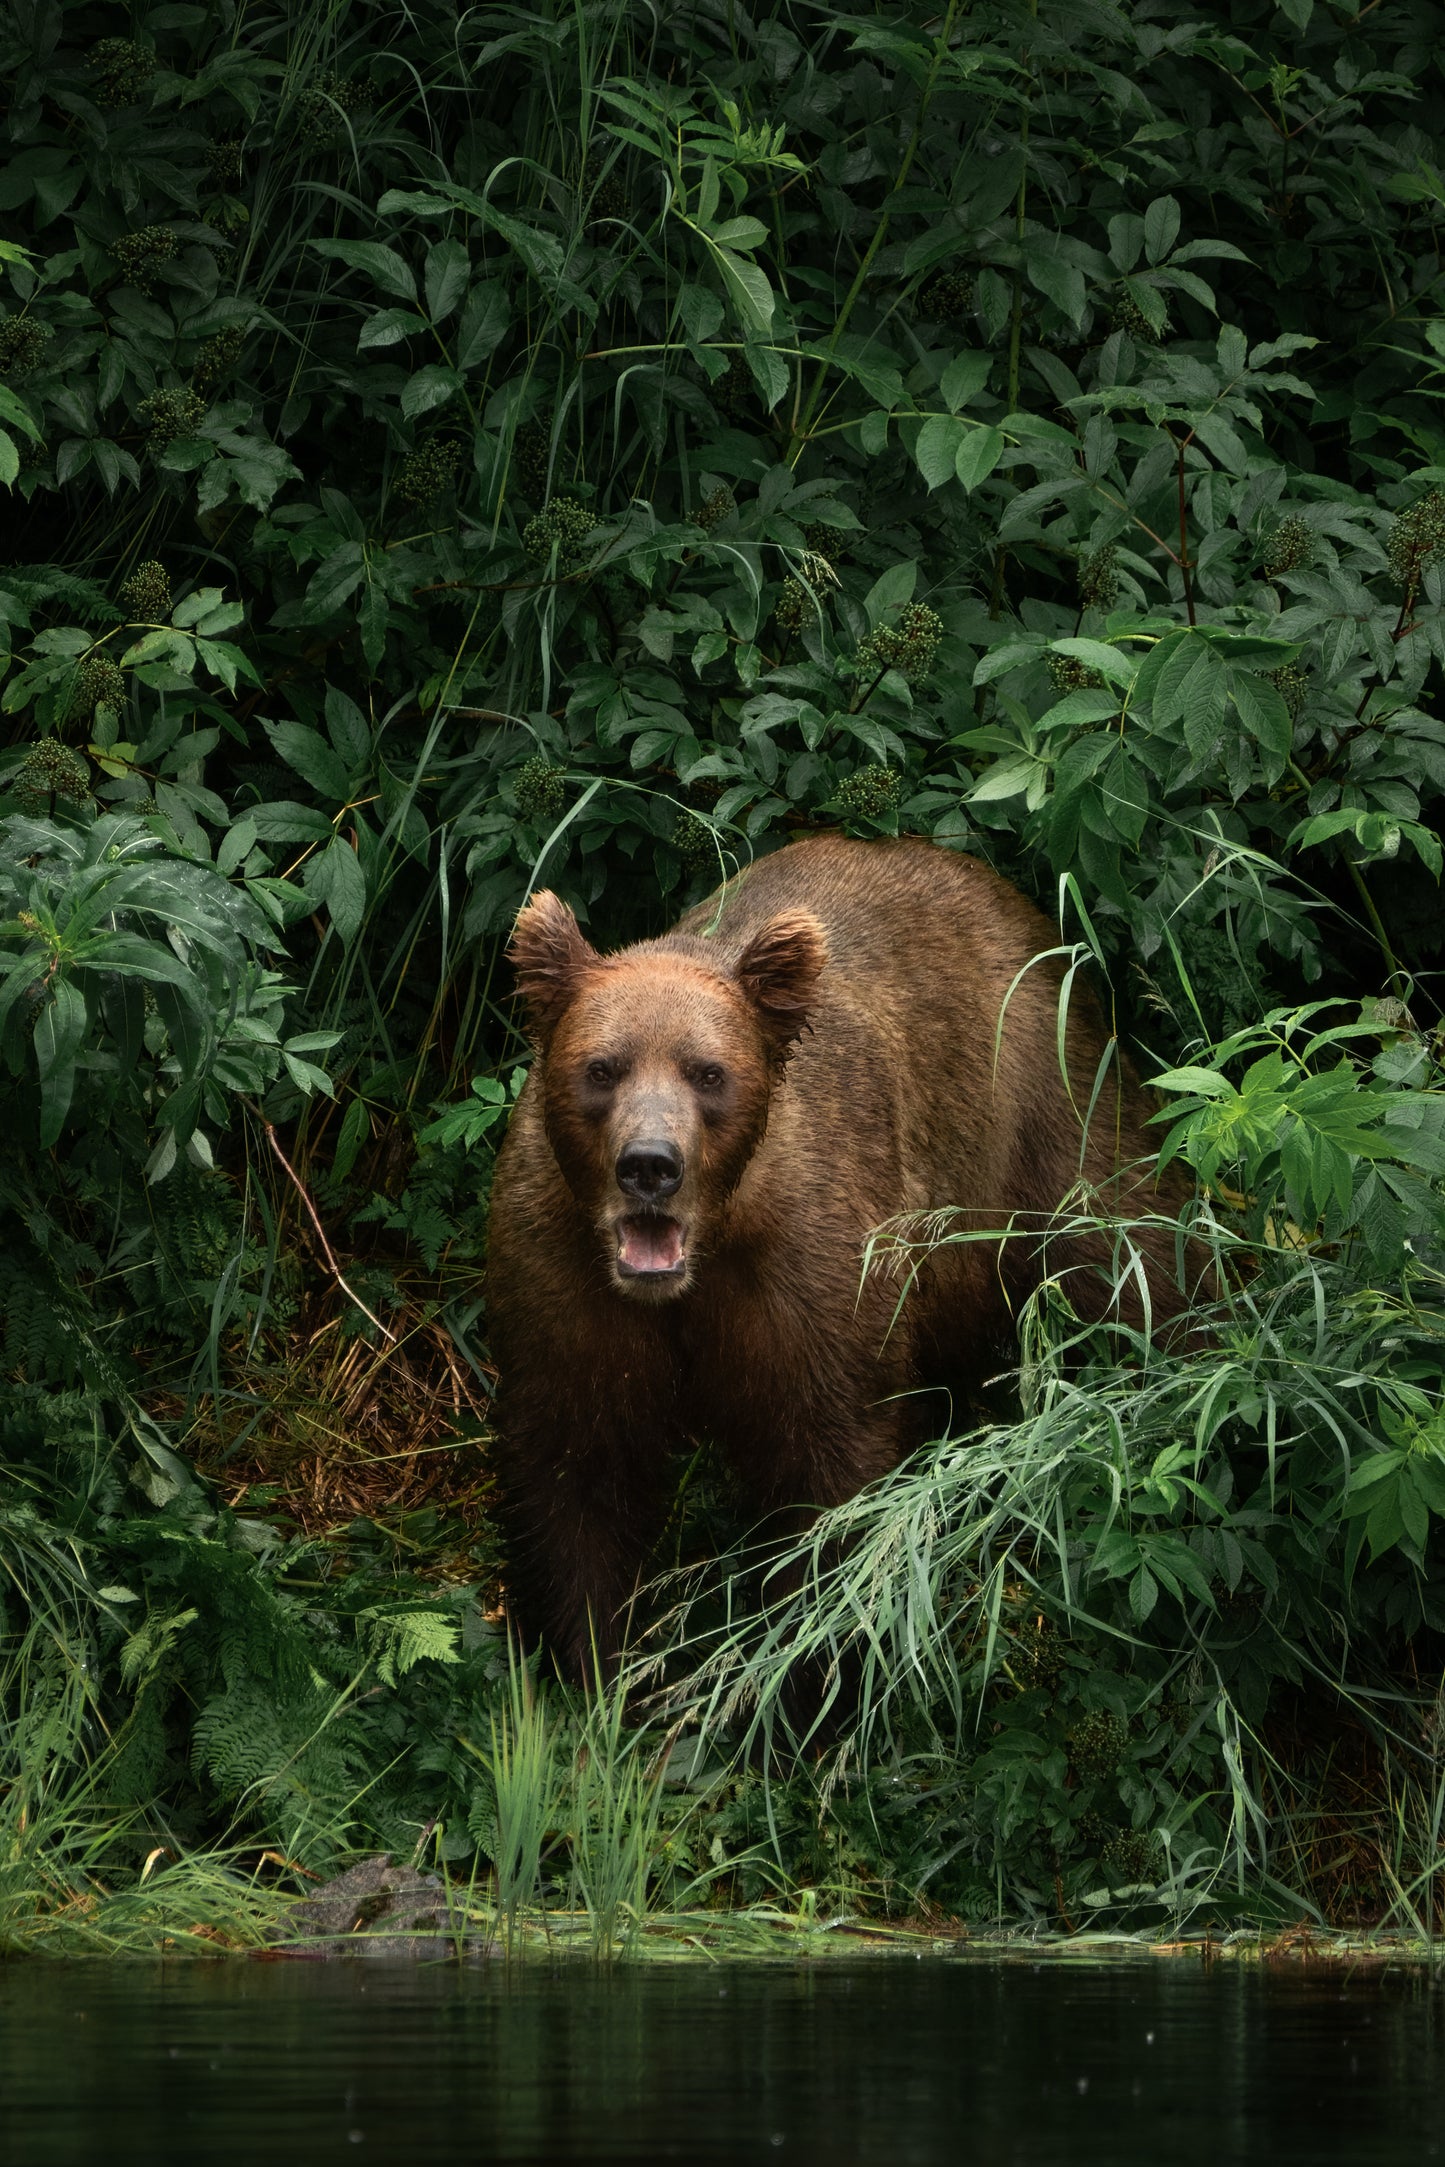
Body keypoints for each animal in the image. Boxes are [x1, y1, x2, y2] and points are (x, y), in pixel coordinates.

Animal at [485, 832, 1195, 1672]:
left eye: (708, 1072)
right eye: (600, 1067)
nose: (650, 1164)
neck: (703, 1261)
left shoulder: (808, 1278)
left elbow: (827, 1477)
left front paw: (813, 1665)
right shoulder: (563, 1285)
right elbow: (576, 1476)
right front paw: (593, 1663)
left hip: (1042, 1109)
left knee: (1132, 1256)